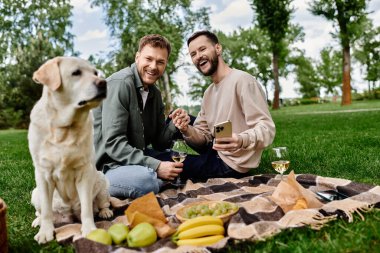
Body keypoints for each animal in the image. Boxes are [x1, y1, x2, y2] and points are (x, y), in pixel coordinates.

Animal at [28, 56, 112, 243]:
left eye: (95, 73)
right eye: (76, 73)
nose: (103, 83)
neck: (64, 129)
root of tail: (69, 214)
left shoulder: (85, 171)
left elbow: (87, 208)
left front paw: (89, 229)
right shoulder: (43, 174)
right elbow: (46, 211)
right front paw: (45, 232)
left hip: (101, 179)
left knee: (102, 202)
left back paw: (105, 211)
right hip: (35, 193)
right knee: (41, 210)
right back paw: (38, 221)